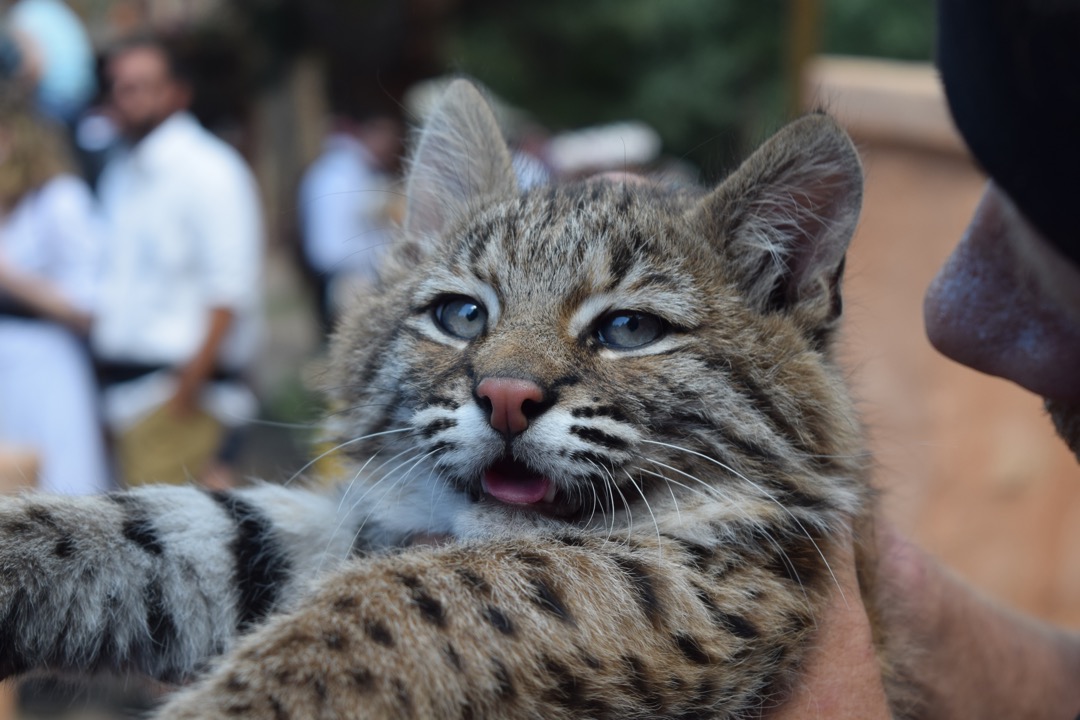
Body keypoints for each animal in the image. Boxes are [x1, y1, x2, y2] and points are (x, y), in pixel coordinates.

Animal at [0, 81, 885, 716]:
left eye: (629, 330)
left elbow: (420, 595)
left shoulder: (721, 586)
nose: (505, 396)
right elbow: (160, 532)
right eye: (462, 316)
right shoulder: (359, 521)